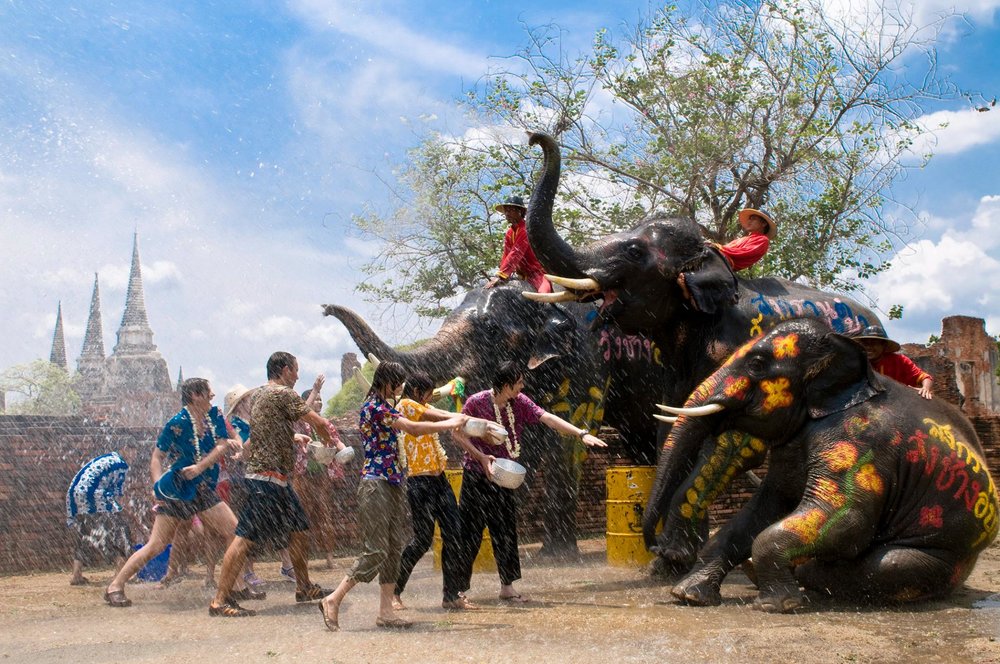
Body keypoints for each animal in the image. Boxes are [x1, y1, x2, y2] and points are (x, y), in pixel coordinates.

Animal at [322, 280, 667, 555]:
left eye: (490, 330)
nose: (325, 308)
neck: (541, 295)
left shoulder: (589, 360)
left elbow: (567, 436)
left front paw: (556, 556)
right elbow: (524, 442)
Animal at [521, 131, 883, 569]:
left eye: (634, 253)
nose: (534, 138)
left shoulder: (741, 348)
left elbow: (728, 441)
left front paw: (673, 557)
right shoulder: (675, 367)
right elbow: (673, 429)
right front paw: (667, 565)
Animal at [654, 318, 998, 611]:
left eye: (757, 364)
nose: (662, 550)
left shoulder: (858, 441)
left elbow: (846, 518)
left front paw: (774, 606)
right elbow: (766, 507)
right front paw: (687, 596)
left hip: (949, 556)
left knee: (888, 565)